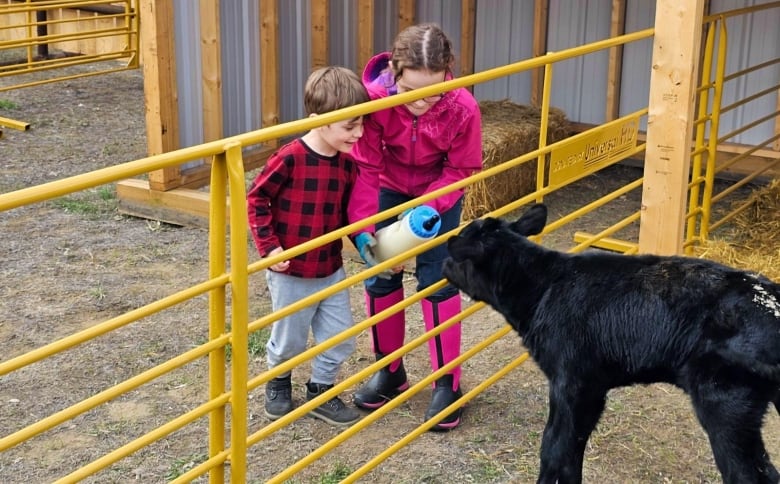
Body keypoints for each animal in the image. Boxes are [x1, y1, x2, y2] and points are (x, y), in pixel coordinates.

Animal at [442, 204, 776, 484]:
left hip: (725, 403)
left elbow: (554, 449)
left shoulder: (573, 382)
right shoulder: (591, 388)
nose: (442, 265)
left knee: (750, 474)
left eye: (458, 255)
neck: (543, 288)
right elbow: (570, 450)